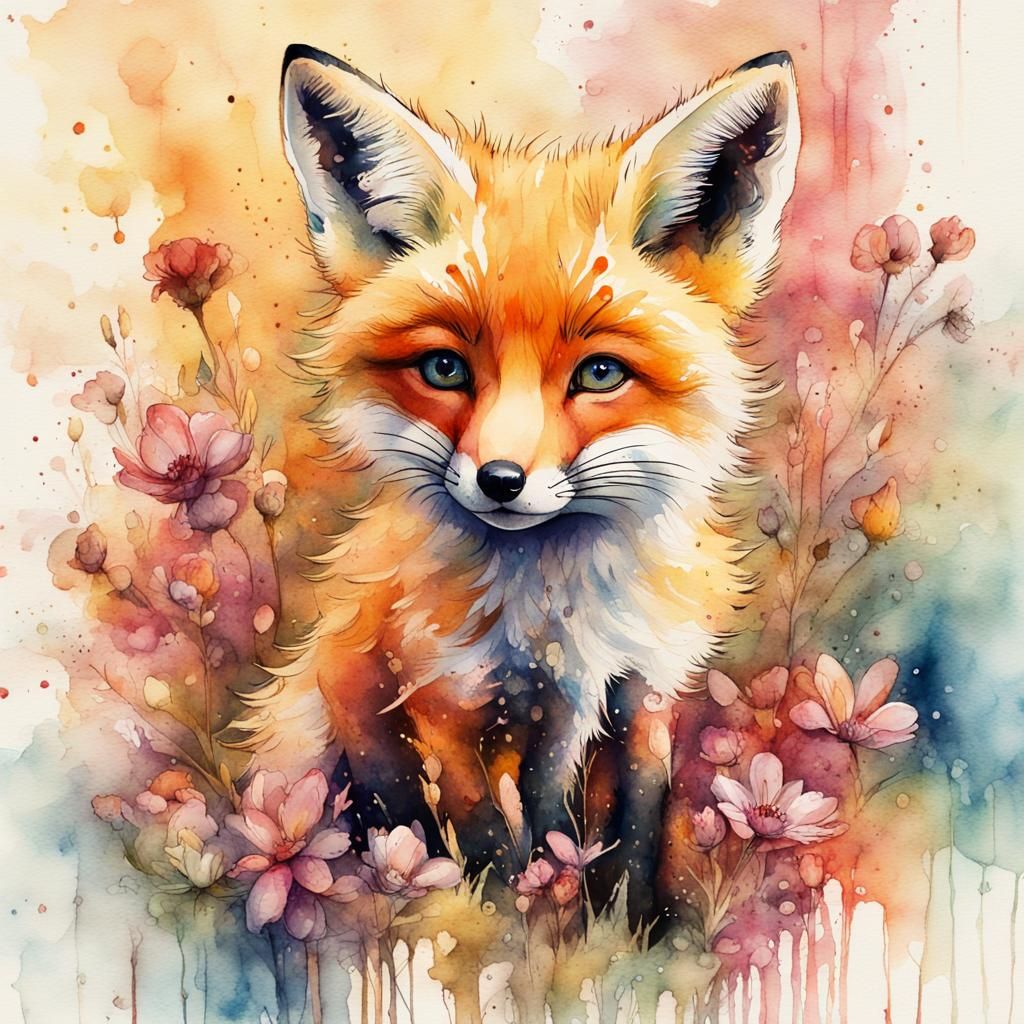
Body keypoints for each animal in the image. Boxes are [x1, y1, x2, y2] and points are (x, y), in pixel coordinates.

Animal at [237, 43, 801, 922]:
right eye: (444, 368)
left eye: (600, 374)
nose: (500, 481)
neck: (555, 619)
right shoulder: (440, 701)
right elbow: (493, 859)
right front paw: (503, 941)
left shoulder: (639, 694)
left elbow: (628, 847)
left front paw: (624, 944)